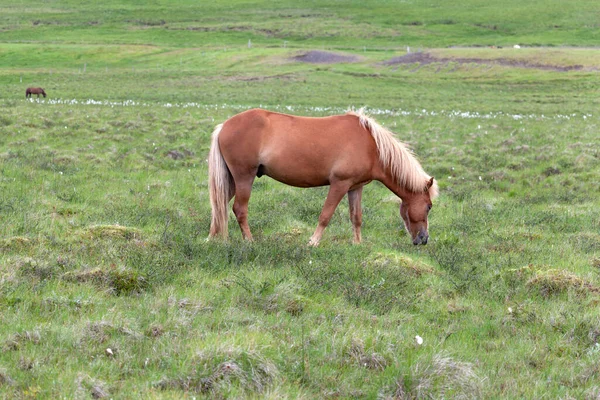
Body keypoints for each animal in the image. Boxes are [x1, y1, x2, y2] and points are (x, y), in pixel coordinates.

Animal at [209, 108, 438, 244]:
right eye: (428, 206)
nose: (424, 239)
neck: (372, 145)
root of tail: (224, 126)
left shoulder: (356, 187)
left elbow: (356, 217)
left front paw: (357, 244)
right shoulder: (339, 184)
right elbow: (325, 215)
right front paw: (313, 243)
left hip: (231, 181)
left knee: (219, 206)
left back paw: (211, 238)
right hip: (244, 177)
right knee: (239, 209)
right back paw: (249, 241)